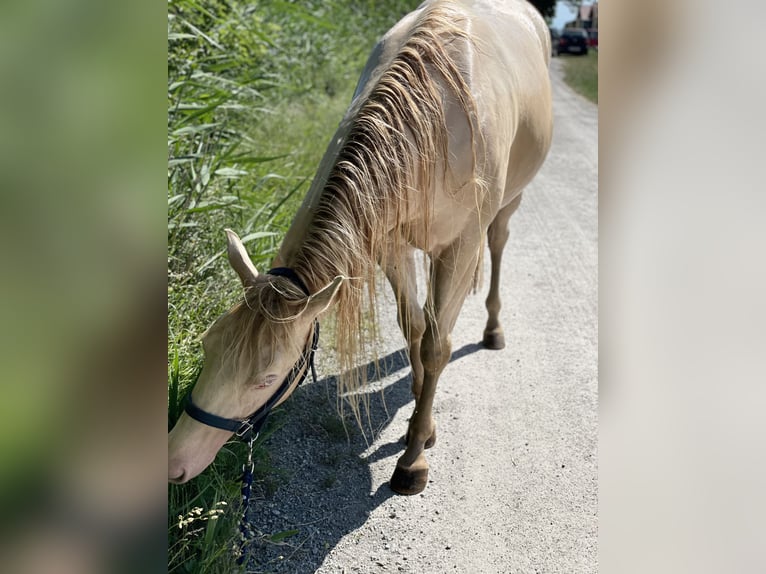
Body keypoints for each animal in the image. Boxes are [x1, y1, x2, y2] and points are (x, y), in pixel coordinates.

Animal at [168, 0, 552, 496]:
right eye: (208, 344)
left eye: (266, 378)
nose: (175, 461)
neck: (434, 122)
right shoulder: (388, 242)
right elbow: (413, 326)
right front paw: (421, 421)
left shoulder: (460, 248)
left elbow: (436, 346)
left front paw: (412, 459)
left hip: (504, 210)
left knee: (499, 245)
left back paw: (493, 329)